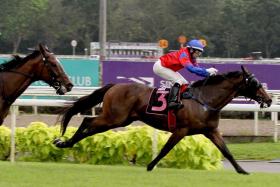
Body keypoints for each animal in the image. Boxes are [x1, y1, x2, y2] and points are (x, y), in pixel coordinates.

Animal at [54, 65, 272, 174]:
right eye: (255, 83)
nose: (269, 99)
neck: (204, 99)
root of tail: (114, 85)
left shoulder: (211, 131)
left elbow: (227, 152)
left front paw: (242, 170)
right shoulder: (181, 130)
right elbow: (166, 149)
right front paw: (150, 166)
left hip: (120, 120)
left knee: (90, 125)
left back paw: (66, 142)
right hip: (113, 117)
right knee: (87, 122)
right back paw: (64, 142)